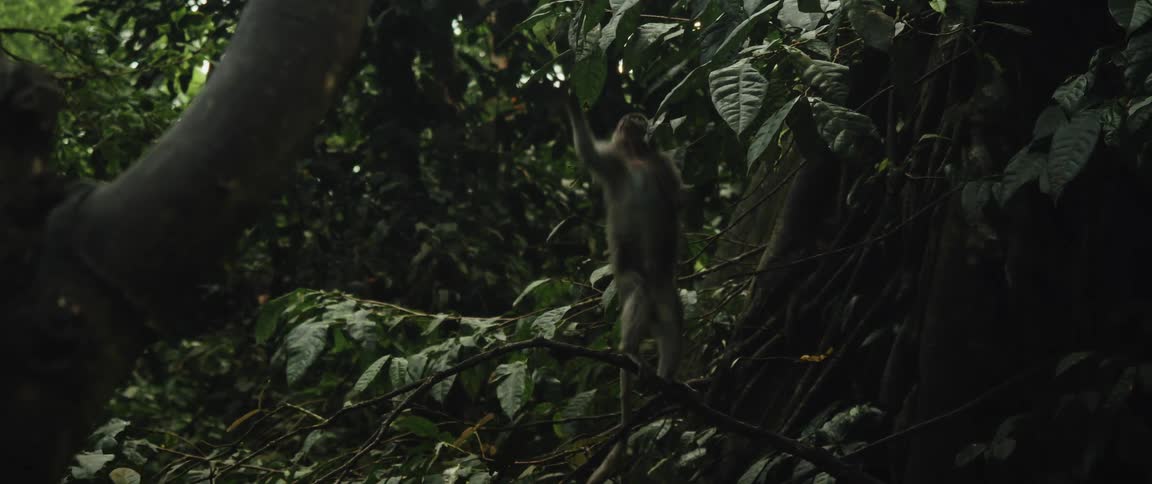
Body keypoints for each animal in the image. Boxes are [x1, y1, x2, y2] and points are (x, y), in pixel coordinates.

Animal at [565, 98, 684, 484]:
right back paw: (629, 351)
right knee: (639, 292)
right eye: (632, 121)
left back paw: (667, 378)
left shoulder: (663, 165)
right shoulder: (613, 162)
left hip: (663, 284)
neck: (636, 157)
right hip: (628, 274)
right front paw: (570, 97)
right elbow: (588, 152)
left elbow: (675, 204)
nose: (638, 119)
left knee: (672, 317)